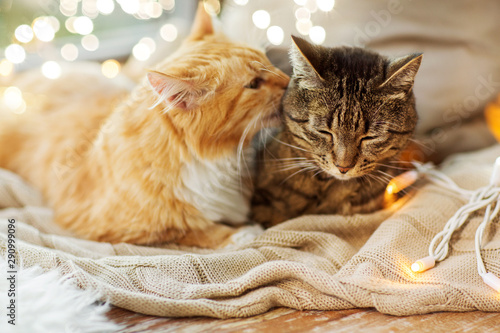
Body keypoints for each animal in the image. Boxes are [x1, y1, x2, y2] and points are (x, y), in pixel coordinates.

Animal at [0, 3, 290, 246]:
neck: (217, 160)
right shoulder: (119, 227)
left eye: (267, 60)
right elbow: (197, 229)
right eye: (254, 84)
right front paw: (244, 232)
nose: (289, 82)